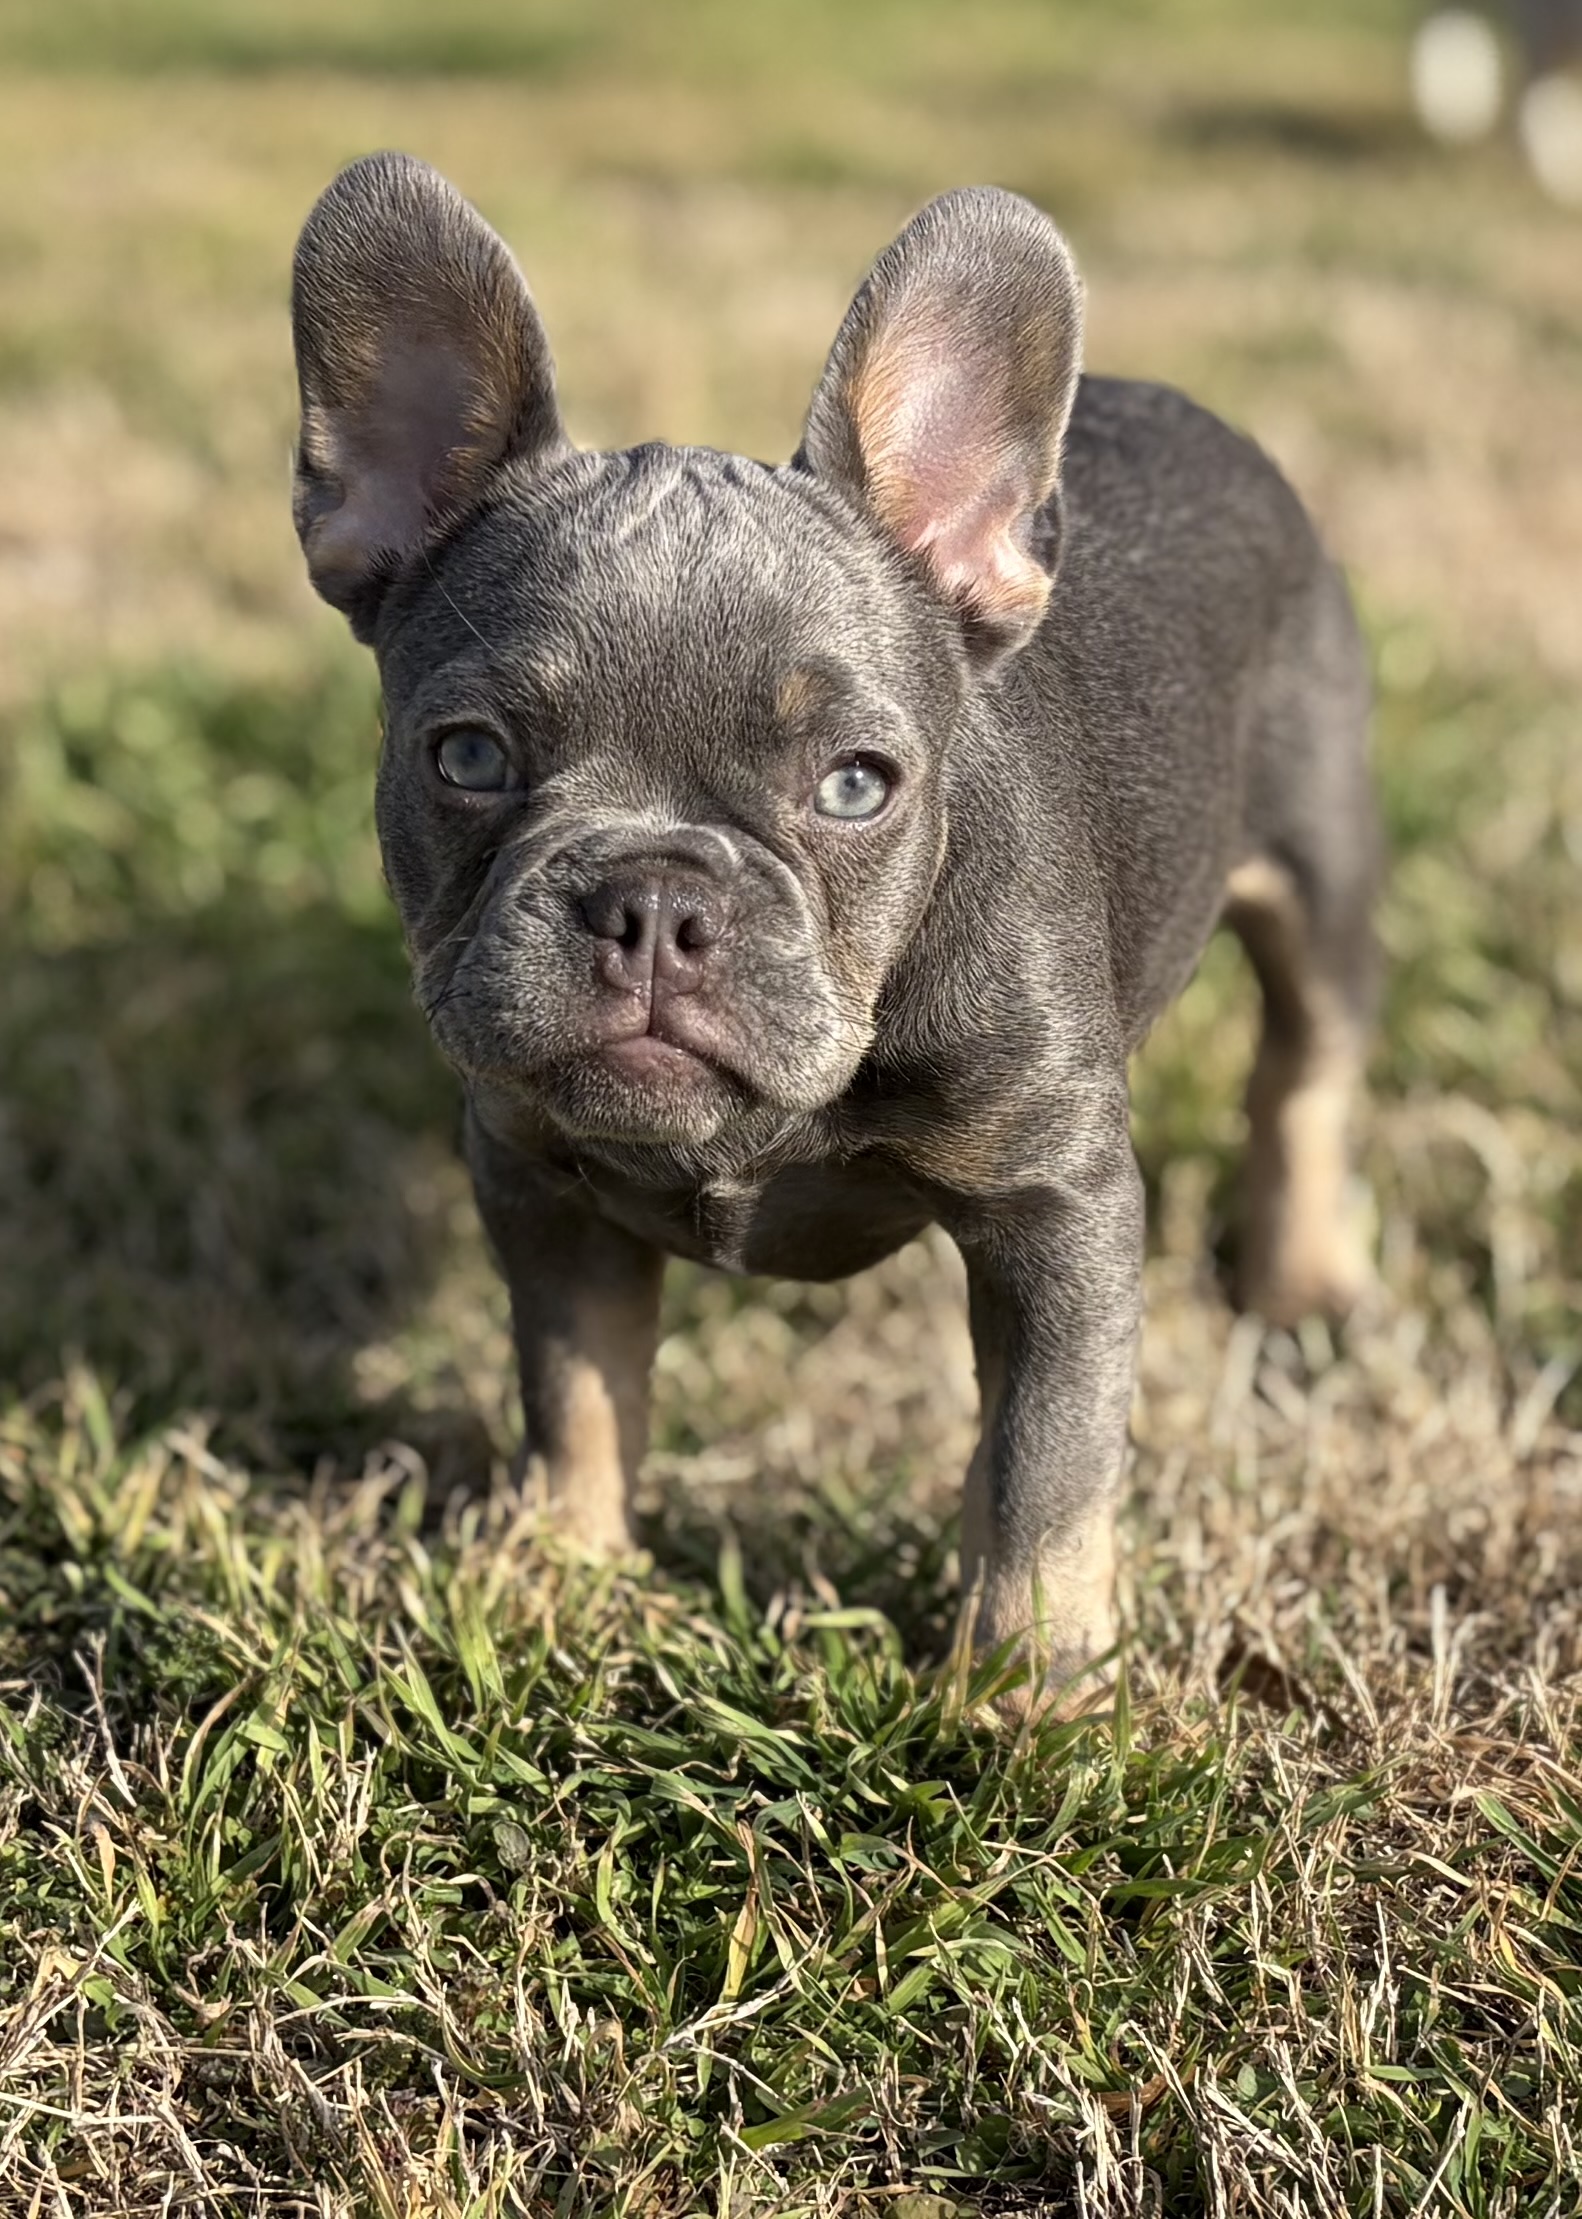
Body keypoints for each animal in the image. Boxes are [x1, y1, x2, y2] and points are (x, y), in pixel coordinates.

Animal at [289, 155, 1379, 1705]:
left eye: (856, 784)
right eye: (471, 758)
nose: (655, 899)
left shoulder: (1054, 1209)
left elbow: (1044, 1464)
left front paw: (1026, 1692)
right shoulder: (536, 1178)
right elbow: (576, 1389)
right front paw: (560, 1577)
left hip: (1319, 866)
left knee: (1305, 1070)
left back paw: (1298, 1284)